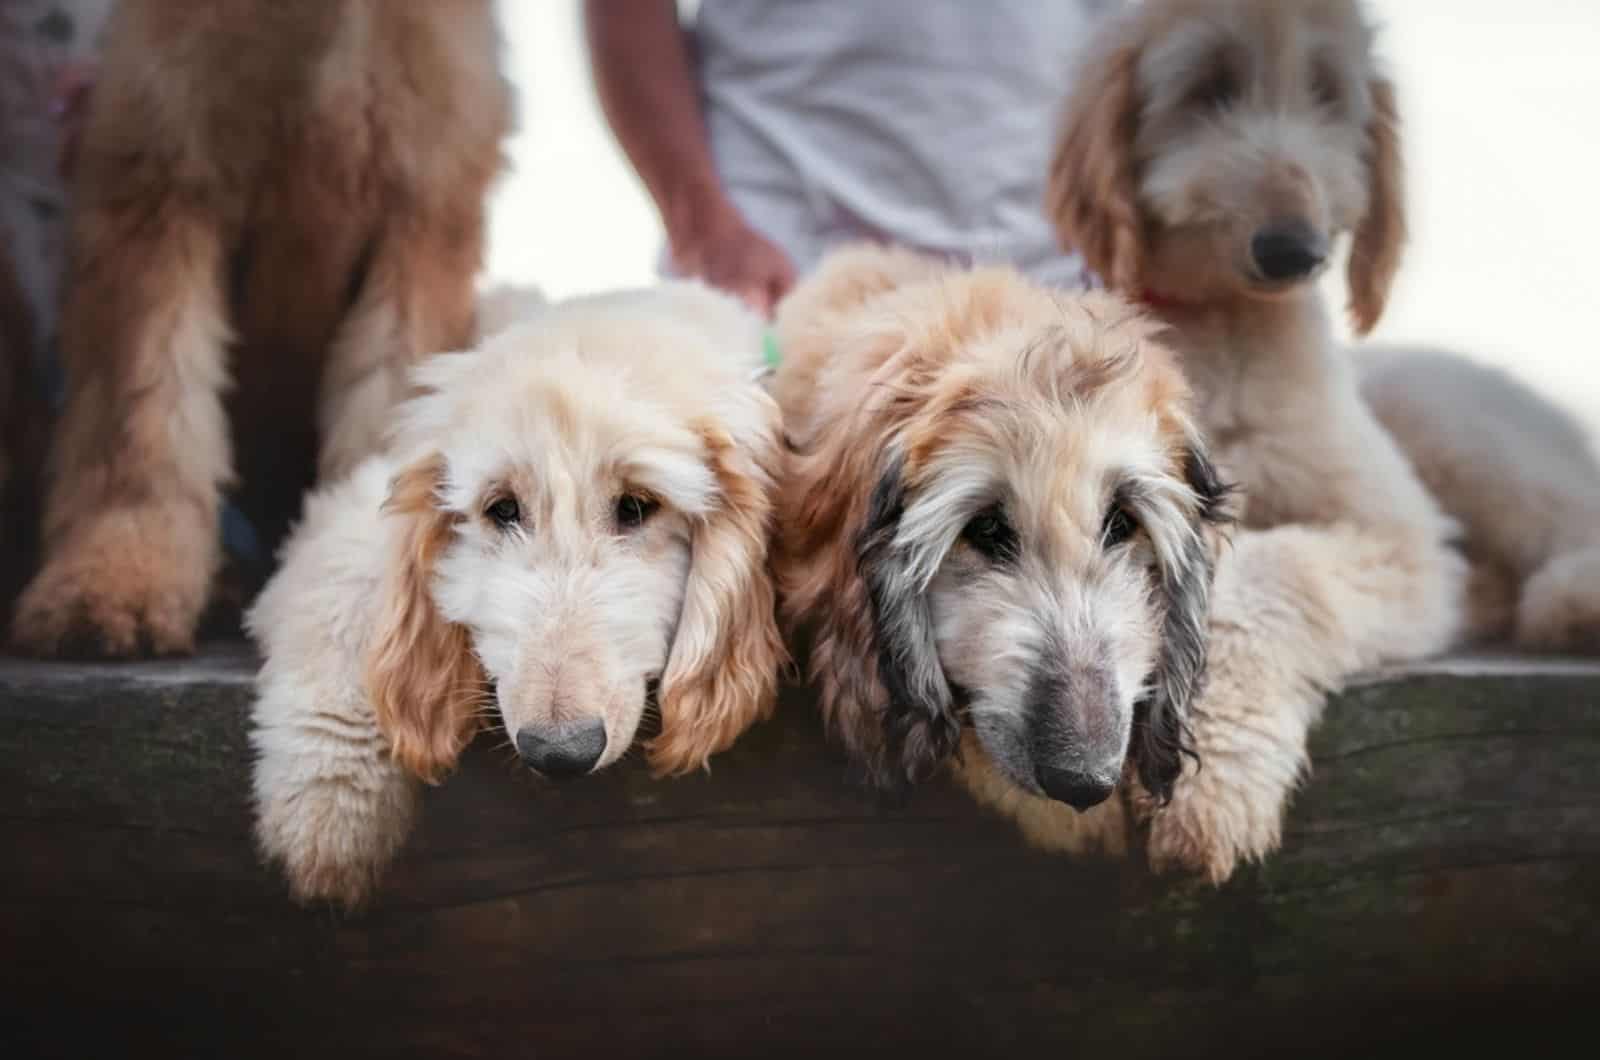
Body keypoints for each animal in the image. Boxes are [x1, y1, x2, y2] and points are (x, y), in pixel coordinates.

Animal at [244, 285, 787, 915]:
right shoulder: (352, 504)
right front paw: (328, 801)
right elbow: (345, 579)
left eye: (637, 506)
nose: (560, 751)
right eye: (502, 509)